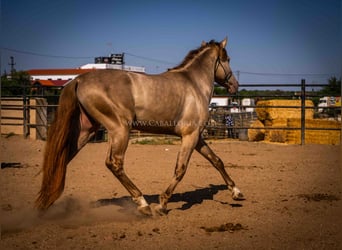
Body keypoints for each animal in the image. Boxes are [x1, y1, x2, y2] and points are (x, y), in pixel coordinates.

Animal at [36, 38, 243, 216]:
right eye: (228, 59)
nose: (235, 85)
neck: (193, 84)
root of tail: (78, 80)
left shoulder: (197, 137)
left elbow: (216, 160)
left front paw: (236, 192)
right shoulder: (190, 136)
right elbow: (181, 169)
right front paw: (162, 204)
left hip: (87, 131)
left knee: (62, 158)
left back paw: (45, 204)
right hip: (120, 130)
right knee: (114, 163)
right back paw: (143, 204)